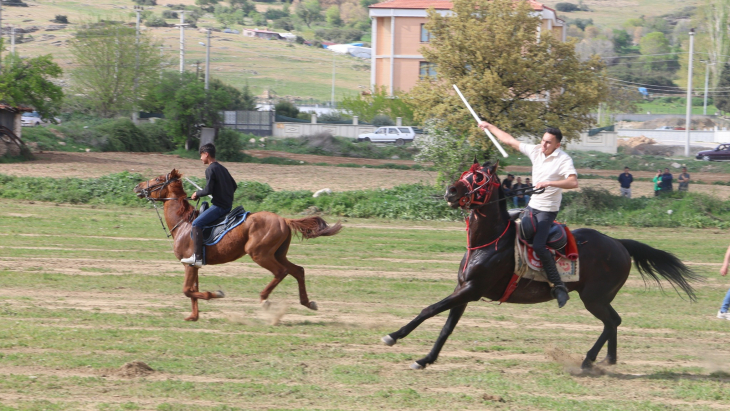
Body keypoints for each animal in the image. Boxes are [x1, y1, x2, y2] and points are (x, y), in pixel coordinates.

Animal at [133, 169, 342, 320]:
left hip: (260, 254)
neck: (183, 223)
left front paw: (216, 294)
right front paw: (193, 316)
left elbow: (187, 291)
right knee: (298, 270)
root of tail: (283, 219)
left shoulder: (188, 264)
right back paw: (308, 302)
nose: (137, 186)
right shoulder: (194, 265)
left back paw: (264, 300)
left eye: (158, 178)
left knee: (281, 272)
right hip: (278, 254)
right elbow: (192, 291)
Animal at [378, 160, 696, 370]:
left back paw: (588, 359)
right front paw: (425, 359)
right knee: (614, 322)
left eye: (478, 178)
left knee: (611, 322)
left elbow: (429, 309)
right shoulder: (463, 290)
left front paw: (393, 336)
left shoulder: (472, 289)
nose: (450, 191)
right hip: (599, 298)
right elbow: (446, 327)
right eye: (465, 174)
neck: (489, 242)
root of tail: (618, 243)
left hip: (594, 298)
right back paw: (608, 359)